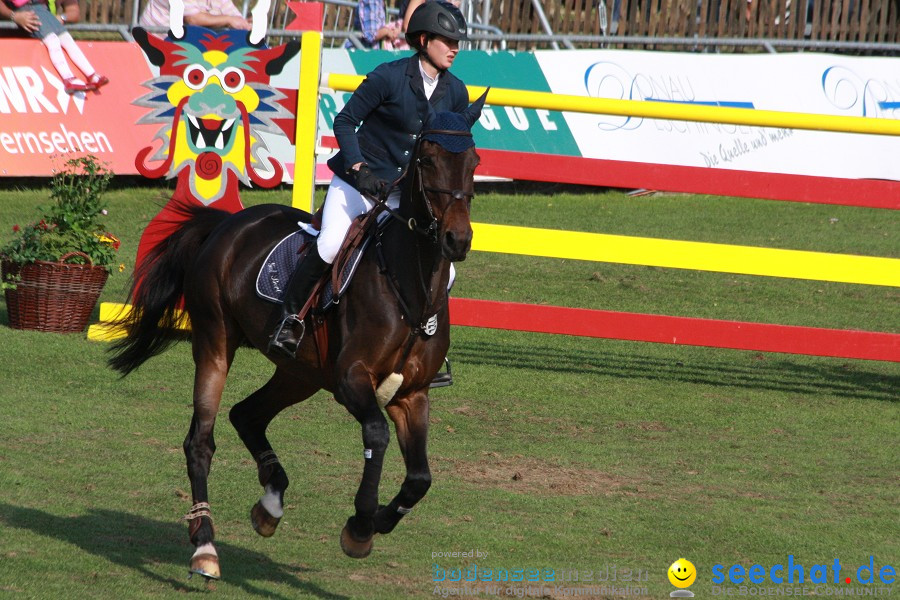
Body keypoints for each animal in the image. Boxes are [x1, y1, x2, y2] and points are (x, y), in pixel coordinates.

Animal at [110, 96, 488, 580]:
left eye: (474, 162)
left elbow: (420, 477)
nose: (457, 239)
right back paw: (205, 546)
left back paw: (269, 504)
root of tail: (228, 224)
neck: (411, 285)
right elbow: (376, 434)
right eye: (426, 160)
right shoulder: (351, 379)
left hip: (300, 373)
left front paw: (376, 522)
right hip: (215, 343)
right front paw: (360, 525)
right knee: (201, 441)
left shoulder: (413, 393)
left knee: (247, 414)